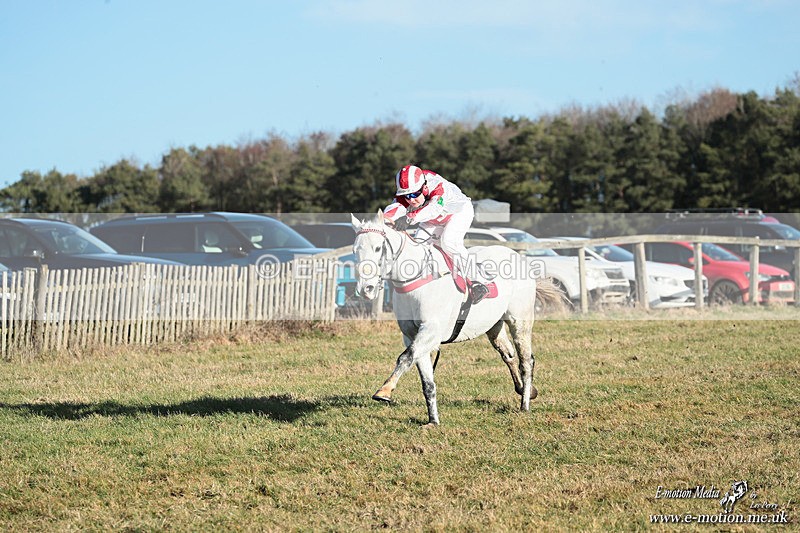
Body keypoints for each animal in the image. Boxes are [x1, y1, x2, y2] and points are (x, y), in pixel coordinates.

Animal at [351, 210, 563, 426]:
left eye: (378, 248)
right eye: (355, 250)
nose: (366, 288)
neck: (416, 280)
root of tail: (518, 257)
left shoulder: (431, 331)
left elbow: (405, 357)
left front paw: (384, 390)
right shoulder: (412, 335)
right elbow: (426, 379)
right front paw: (433, 421)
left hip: (520, 321)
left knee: (526, 361)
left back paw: (525, 404)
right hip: (493, 326)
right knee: (508, 355)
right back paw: (525, 390)